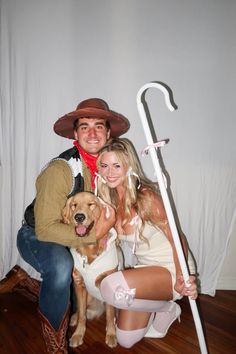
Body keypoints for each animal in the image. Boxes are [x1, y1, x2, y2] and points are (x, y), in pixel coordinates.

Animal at [62, 192, 119, 348]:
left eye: (91, 204)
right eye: (74, 205)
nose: (79, 217)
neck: (89, 249)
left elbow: (110, 315)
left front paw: (111, 334)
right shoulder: (79, 284)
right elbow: (82, 314)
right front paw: (78, 334)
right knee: (81, 310)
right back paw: (73, 318)